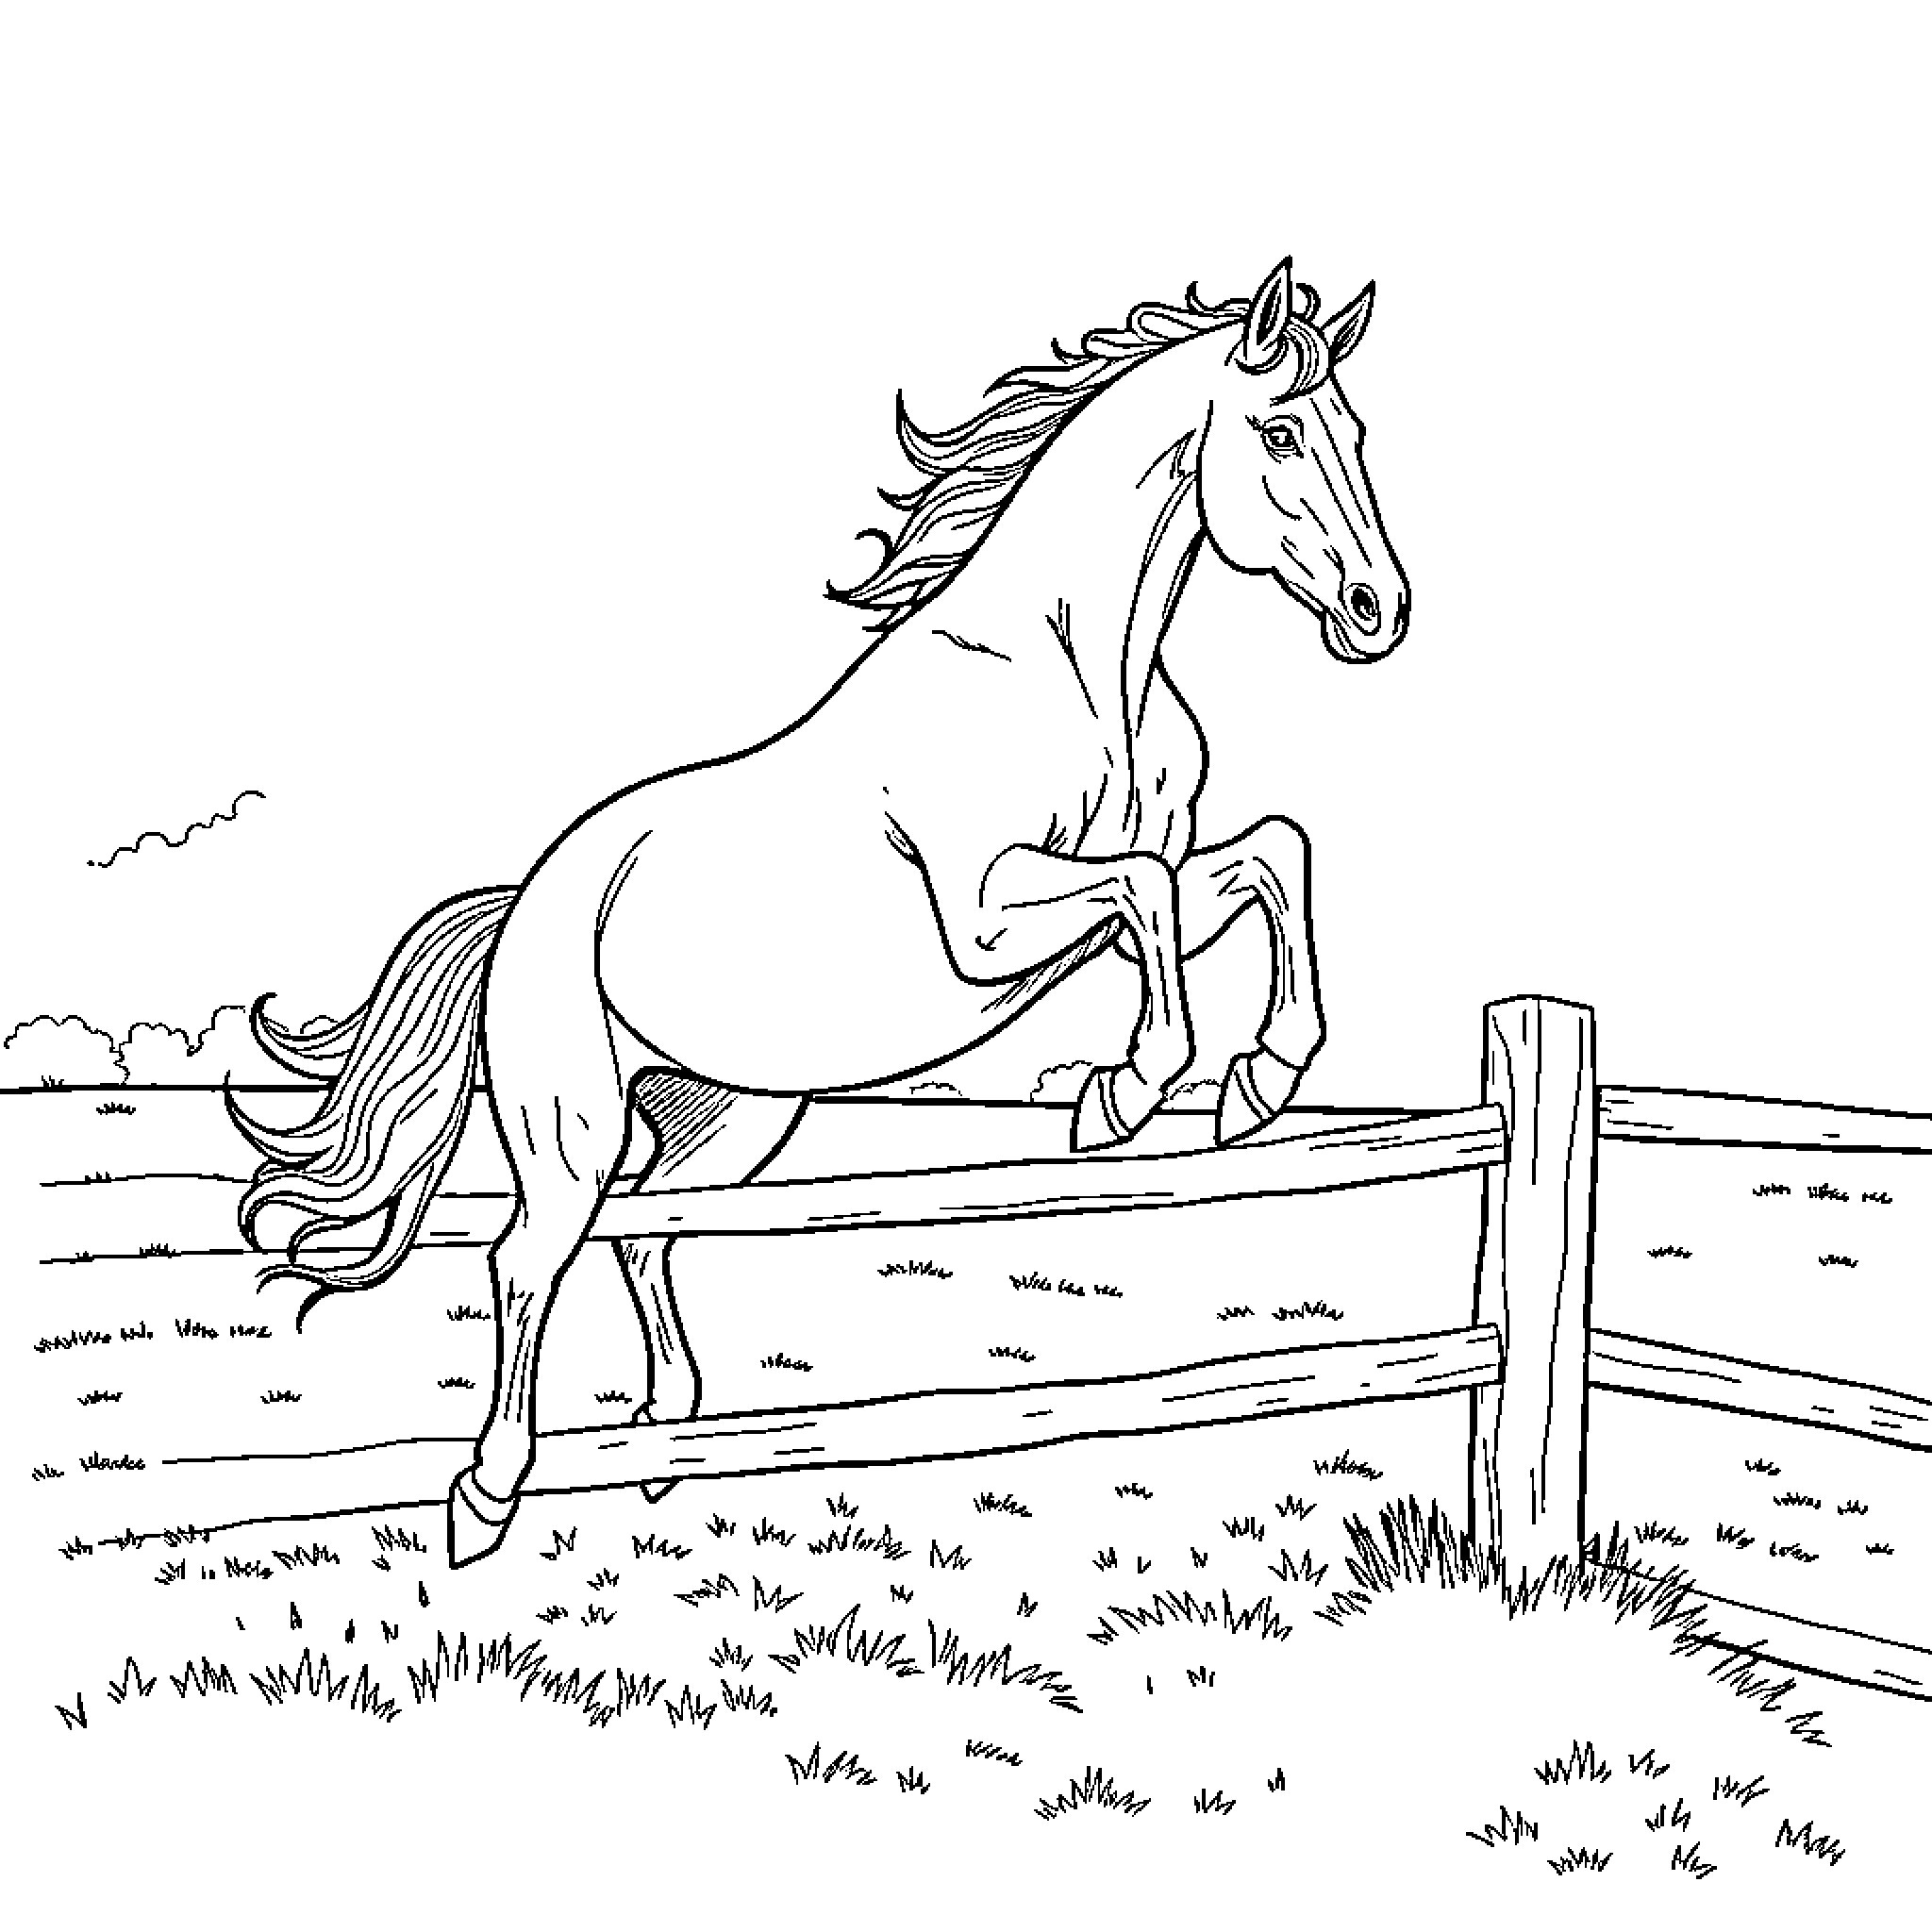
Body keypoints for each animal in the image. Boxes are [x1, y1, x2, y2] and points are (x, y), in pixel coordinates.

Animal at [229, 254, 1410, 1566]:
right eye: (1279, 430)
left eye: (1357, 431)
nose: (1378, 610)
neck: (1070, 671)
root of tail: (527, 900)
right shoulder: (988, 919)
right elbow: (1152, 898)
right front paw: (1127, 1092)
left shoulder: (1147, 876)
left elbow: (1265, 856)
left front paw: (1261, 1075)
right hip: (567, 1120)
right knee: (527, 1256)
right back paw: (488, 1493)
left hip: (728, 1115)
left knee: (649, 1225)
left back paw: (667, 1440)